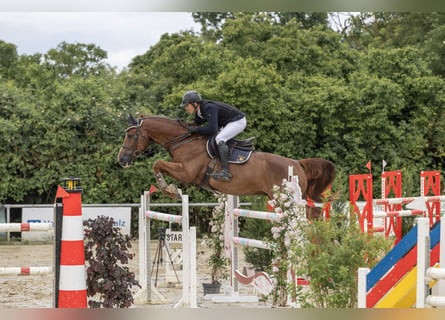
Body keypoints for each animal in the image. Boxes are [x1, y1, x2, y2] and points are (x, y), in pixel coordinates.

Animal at [116, 115, 334, 215]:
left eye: (130, 135)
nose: (121, 160)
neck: (184, 140)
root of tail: (297, 163)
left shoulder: (187, 173)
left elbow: (157, 163)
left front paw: (168, 189)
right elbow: (158, 164)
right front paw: (168, 189)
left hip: (286, 199)